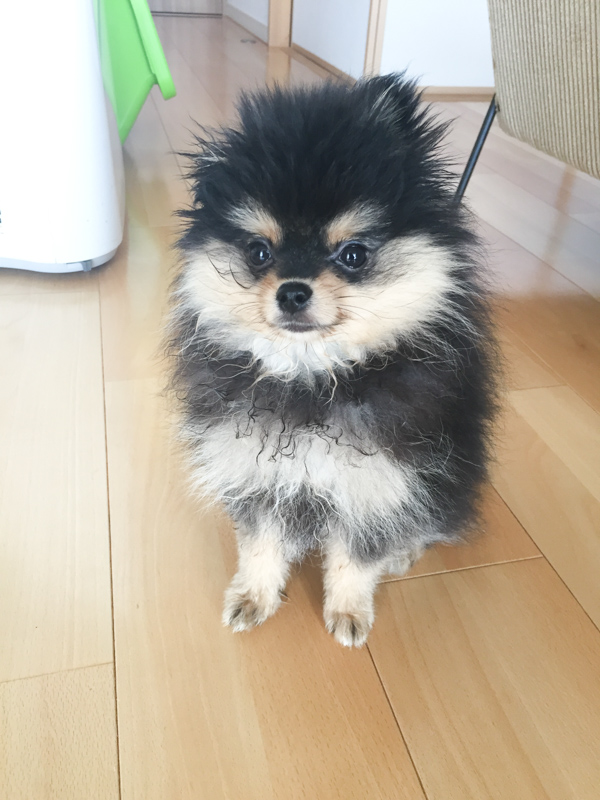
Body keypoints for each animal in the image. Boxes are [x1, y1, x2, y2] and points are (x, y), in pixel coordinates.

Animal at [168, 75, 497, 647]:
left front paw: (348, 612)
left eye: (353, 254)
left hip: (450, 471)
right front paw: (254, 597)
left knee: (434, 517)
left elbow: (357, 557)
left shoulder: (376, 482)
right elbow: (260, 544)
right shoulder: (255, 470)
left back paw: (405, 549)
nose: (293, 291)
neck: (313, 377)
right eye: (259, 252)